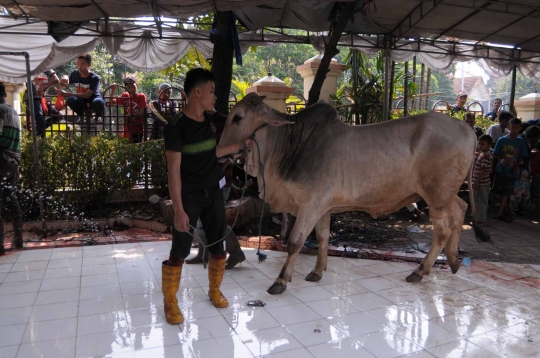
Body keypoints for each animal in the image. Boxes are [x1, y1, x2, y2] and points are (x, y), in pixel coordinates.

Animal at [218, 93, 490, 296]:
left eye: (237, 117)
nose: (220, 152)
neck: (292, 145)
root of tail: (467, 128)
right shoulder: (323, 207)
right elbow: (324, 237)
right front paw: (317, 271)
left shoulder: (310, 205)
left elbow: (295, 242)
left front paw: (281, 281)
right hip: (445, 195)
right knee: (461, 210)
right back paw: (453, 261)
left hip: (437, 195)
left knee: (442, 230)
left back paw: (420, 271)